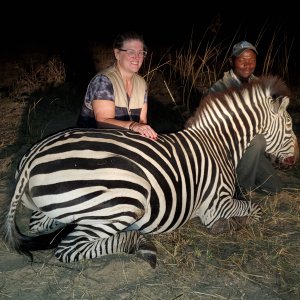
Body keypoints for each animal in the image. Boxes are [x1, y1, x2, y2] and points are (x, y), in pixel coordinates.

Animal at [1, 74, 298, 268]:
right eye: (290, 126)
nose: (294, 160)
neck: (218, 145)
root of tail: (34, 155)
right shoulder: (216, 205)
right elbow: (254, 210)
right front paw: (233, 225)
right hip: (125, 199)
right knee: (69, 248)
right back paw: (138, 244)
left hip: (58, 208)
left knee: (44, 225)